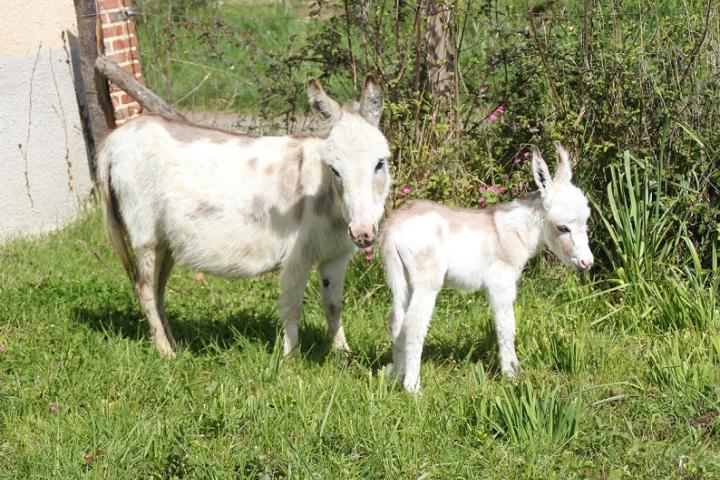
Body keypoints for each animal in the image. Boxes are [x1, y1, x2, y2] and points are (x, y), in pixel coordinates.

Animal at [380, 143, 592, 394]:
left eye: (585, 223)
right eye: (563, 228)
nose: (587, 263)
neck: (514, 232)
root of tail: (393, 227)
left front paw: (514, 371)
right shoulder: (502, 282)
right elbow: (506, 327)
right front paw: (511, 374)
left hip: (403, 280)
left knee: (396, 322)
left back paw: (398, 376)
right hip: (427, 280)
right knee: (413, 324)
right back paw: (413, 388)